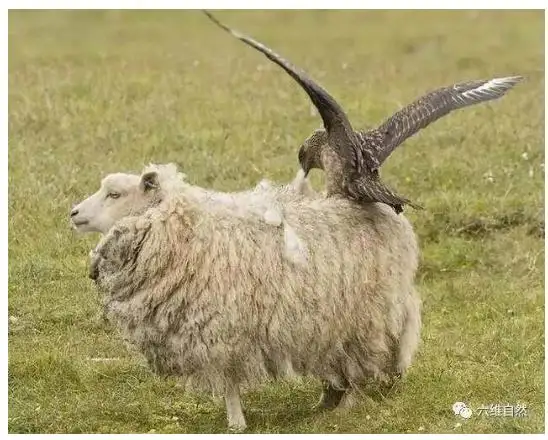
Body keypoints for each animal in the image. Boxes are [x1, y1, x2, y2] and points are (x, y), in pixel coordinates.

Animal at [75, 163, 422, 432]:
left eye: (115, 194)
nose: (73, 212)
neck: (185, 229)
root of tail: (389, 214)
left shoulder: (224, 327)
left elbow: (229, 380)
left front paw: (236, 423)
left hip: (367, 318)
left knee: (360, 362)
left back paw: (347, 404)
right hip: (332, 322)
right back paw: (325, 401)